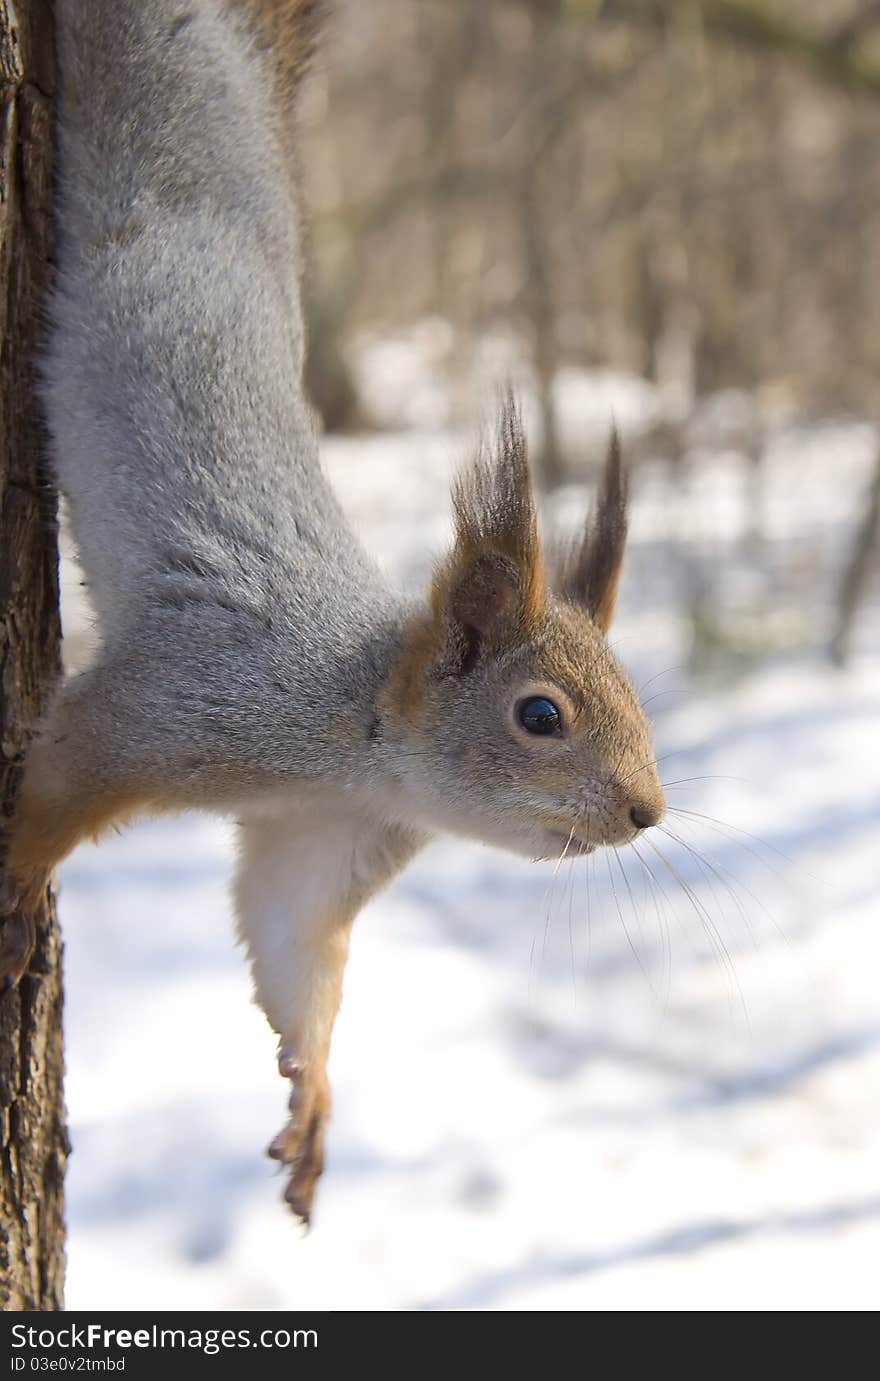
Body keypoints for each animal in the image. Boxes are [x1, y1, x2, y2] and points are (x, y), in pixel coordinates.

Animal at [0, 2, 657, 1231]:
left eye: (637, 698)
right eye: (539, 715)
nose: (648, 811)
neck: (356, 738)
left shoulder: (319, 842)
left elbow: (290, 945)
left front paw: (313, 1102)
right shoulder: (180, 702)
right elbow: (62, 769)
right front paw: (16, 884)